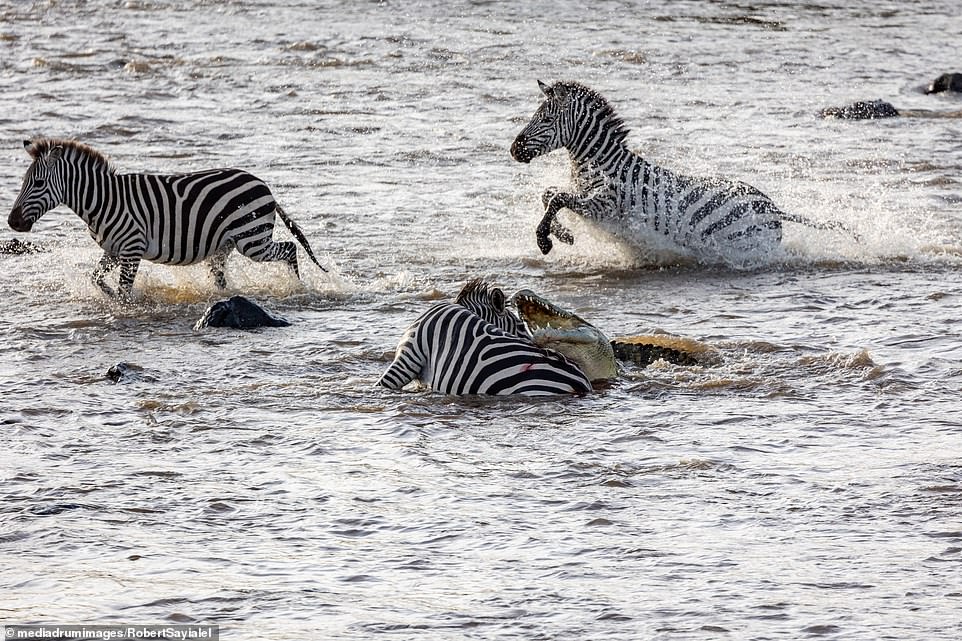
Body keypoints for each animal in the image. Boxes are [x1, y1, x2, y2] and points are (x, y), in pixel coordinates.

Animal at [8, 138, 326, 298]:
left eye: (37, 184)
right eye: (24, 182)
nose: (12, 222)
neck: (103, 201)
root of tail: (263, 184)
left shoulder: (132, 249)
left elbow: (124, 290)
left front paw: (126, 307)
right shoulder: (113, 250)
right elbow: (96, 278)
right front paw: (109, 296)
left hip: (252, 239)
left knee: (289, 249)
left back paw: (296, 286)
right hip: (226, 244)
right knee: (221, 276)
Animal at [510, 80, 856, 264]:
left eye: (545, 119)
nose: (514, 149)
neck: (601, 163)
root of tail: (772, 206)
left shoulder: (602, 205)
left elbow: (557, 198)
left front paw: (545, 240)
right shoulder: (585, 198)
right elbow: (549, 194)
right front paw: (563, 234)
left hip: (744, 245)